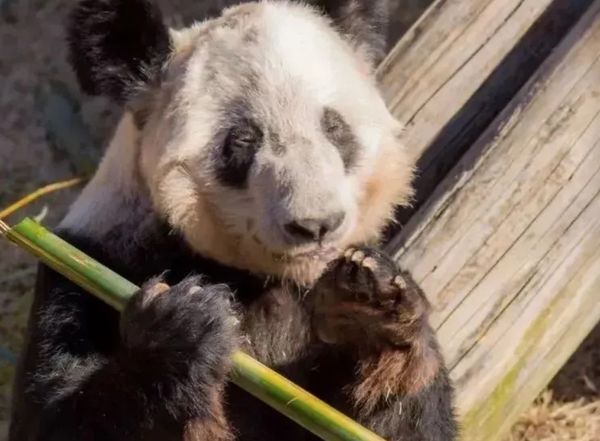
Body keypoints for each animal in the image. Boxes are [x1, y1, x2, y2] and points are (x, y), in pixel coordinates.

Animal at [8, 0, 454, 440]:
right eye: (242, 141)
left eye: (334, 127)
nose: (316, 224)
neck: (271, 280)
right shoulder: (85, 265)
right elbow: (52, 419)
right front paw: (183, 326)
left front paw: (369, 307)